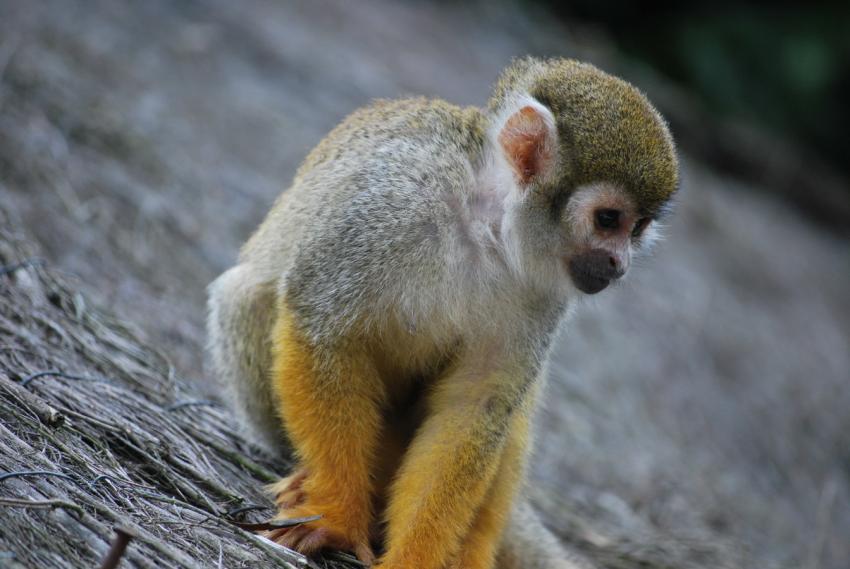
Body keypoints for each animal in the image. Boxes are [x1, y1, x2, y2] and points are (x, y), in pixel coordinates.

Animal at [207, 57, 678, 569]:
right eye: (608, 219)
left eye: (638, 228)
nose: (619, 264)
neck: (488, 227)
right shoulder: (390, 203)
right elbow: (321, 325)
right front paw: (336, 514)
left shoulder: (544, 293)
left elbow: (473, 407)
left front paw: (417, 556)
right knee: (248, 297)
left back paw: (474, 545)